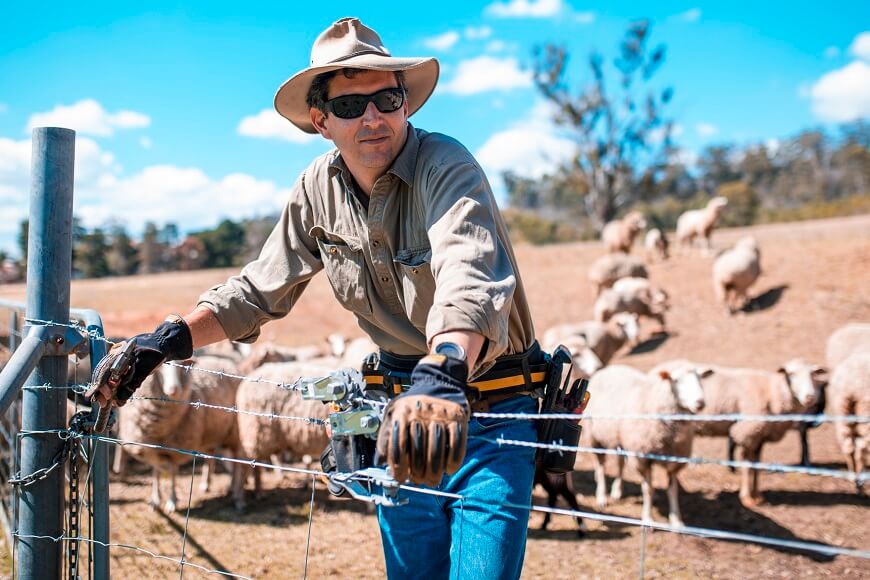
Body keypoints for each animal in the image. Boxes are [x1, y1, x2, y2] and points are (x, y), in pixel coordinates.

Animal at [118, 355, 242, 512]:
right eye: (161, 367)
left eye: (182, 366)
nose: (174, 390)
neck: (161, 429)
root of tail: (220, 359)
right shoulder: (150, 447)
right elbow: (156, 470)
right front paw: (155, 499)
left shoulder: (177, 447)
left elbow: (172, 472)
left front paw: (172, 501)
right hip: (211, 432)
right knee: (210, 456)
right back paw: (206, 484)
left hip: (234, 432)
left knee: (237, 462)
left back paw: (237, 495)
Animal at [585, 363, 708, 528]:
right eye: (675, 380)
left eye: (699, 378)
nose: (700, 403)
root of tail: (609, 368)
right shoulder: (642, 458)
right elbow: (648, 490)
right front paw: (648, 519)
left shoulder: (674, 459)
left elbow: (673, 490)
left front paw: (676, 521)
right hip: (594, 436)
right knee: (600, 466)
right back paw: (601, 497)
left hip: (621, 438)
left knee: (620, 463)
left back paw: (617, 491)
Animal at [672, 359, 825, 507]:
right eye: (791, 374)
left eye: (812, 375)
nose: (810, 397)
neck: (771, 392)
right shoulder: (747, 432)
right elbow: (747, 465)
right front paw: (747, 498)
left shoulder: (760, 436)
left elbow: (756, 464)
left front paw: (757, 496)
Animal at [827, 352, 870, 494]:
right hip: (864, 410)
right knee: (862, 447)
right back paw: (860, 481)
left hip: (841, 411)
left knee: (848, 446)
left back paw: (853, 477)